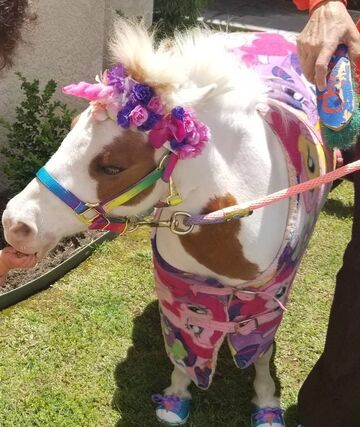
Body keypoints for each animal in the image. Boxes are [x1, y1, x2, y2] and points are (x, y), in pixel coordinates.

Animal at [1, 21, 334, 427]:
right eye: (71, 126)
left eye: (112, 167)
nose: (16, 223)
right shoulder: (182, 288)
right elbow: (184, 345)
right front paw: (175, 398)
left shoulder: (269, 297)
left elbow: (261, 351)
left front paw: (267, 401)